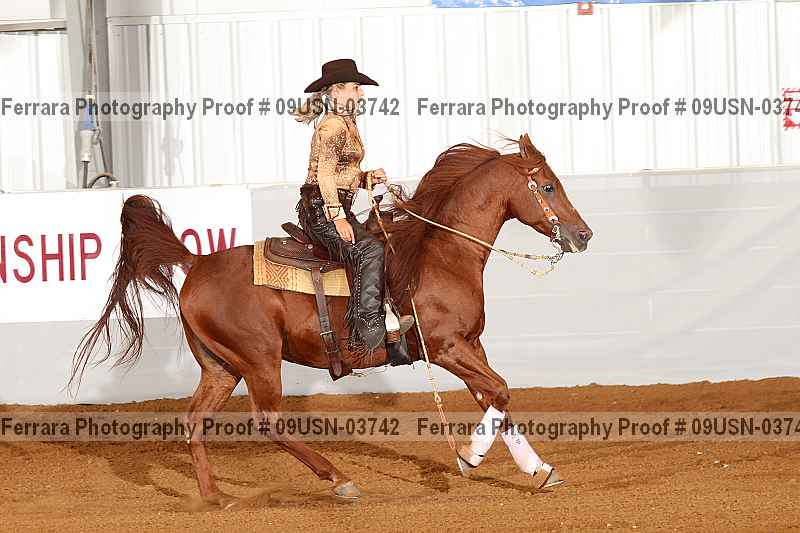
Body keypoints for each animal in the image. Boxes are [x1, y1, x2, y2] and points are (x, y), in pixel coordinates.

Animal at [69, 133, 592, 508]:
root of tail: (195, 263)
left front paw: (540, 471)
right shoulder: (446, 347)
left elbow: (497, 397)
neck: (440, 254)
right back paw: (340, 481)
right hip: (259, 361)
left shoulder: (471, 345)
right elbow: (500, 391)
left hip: (221, 366)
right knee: (268, 421)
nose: (584, 235)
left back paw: (215, 498)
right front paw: (468, 458)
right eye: (548, 186)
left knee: (196, 421)